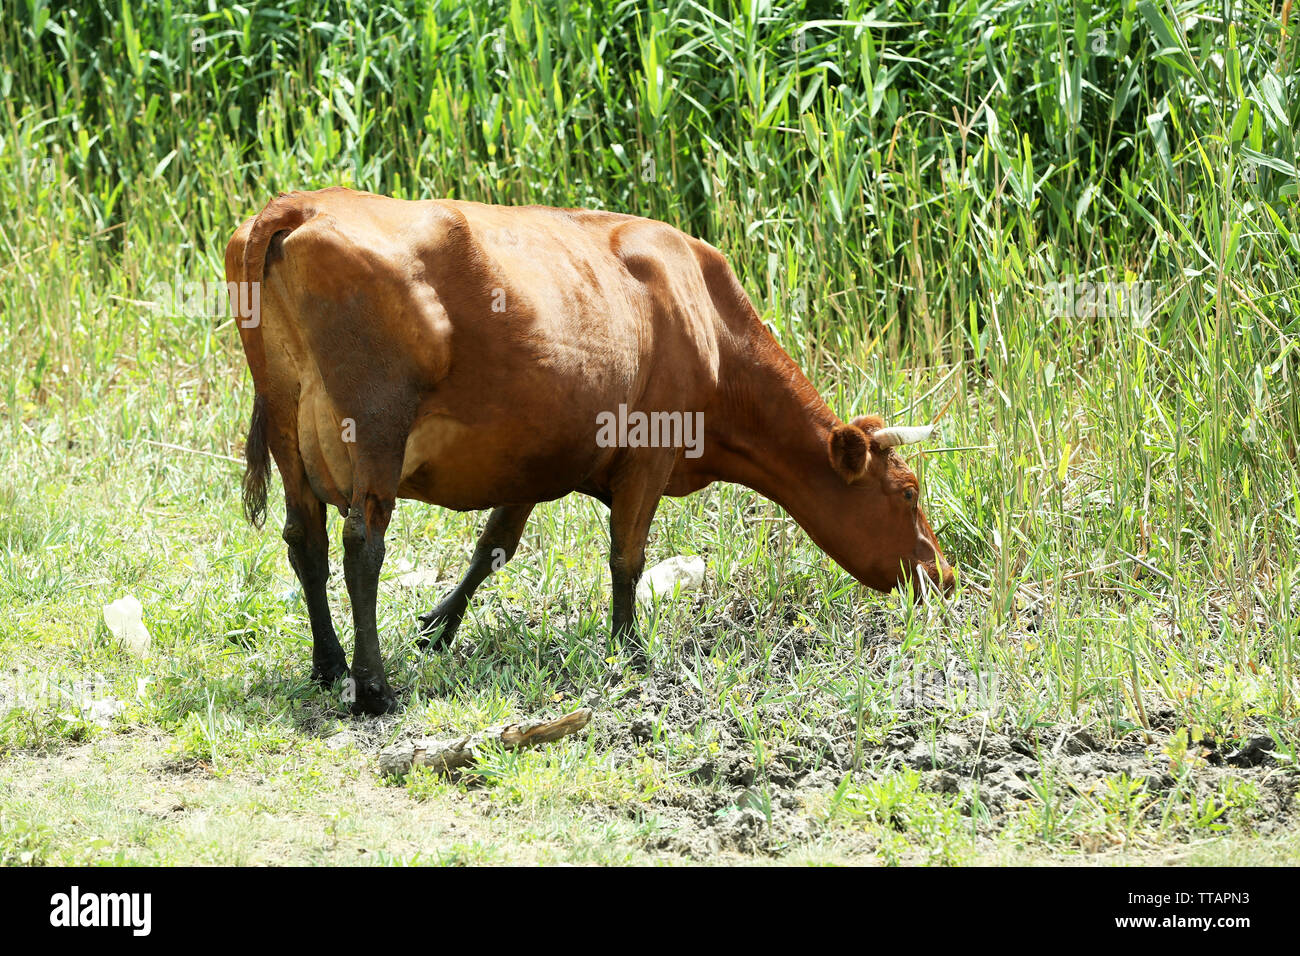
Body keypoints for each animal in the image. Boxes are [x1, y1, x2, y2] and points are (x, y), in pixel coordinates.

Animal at [225, 187, 954, 715]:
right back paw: (373, 687)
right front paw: (630, 651)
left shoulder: (531, 457)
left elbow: (493, 547)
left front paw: (438, 627)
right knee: (361, 546)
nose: (943, 574)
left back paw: (328, 665)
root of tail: (303, 202)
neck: (709, 324)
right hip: (375, 429)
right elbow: (627, 558)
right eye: (907, 492)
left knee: (306, 539)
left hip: (287, 424)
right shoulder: (650, 456)